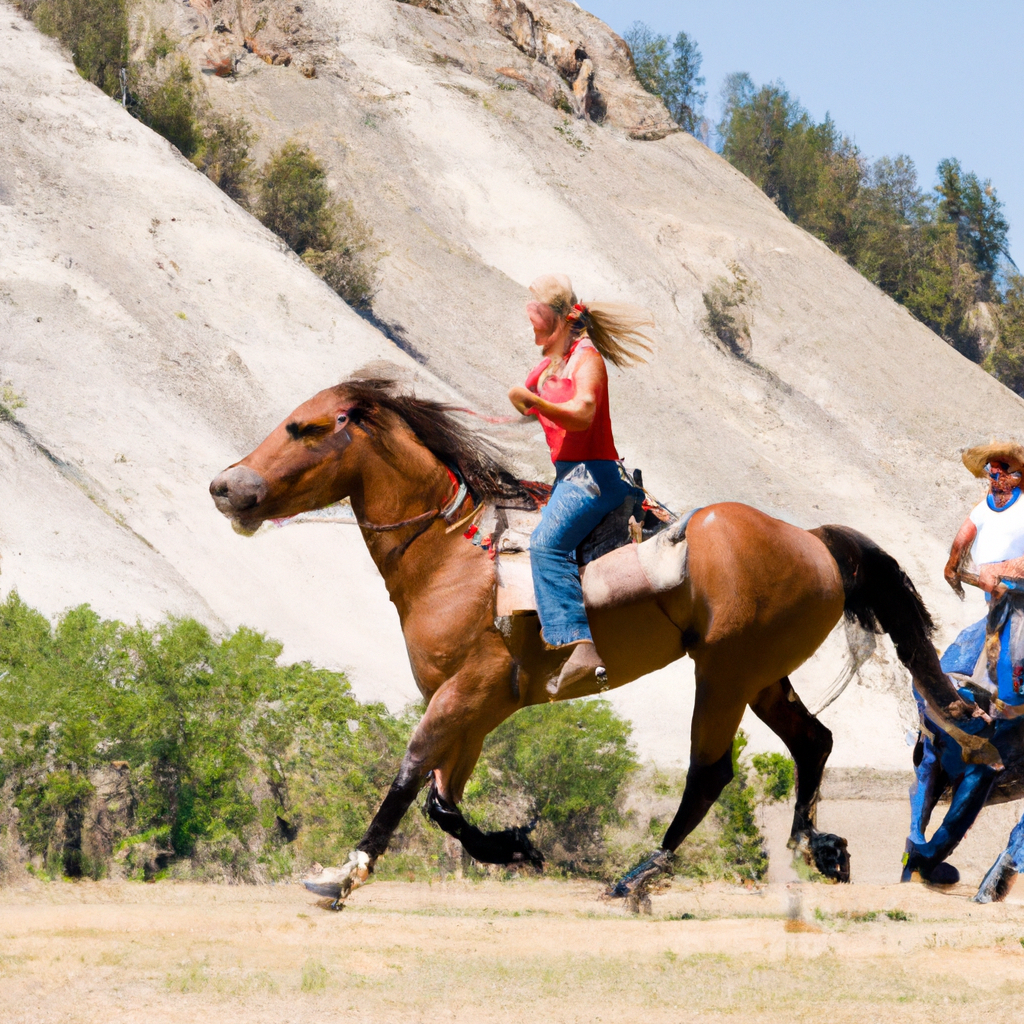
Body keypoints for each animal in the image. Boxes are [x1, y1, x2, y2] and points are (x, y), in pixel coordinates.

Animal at [209, 376, 983, 905]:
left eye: (304, 427)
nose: (225, 487)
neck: (453, 555)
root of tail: (815, 542)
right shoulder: (483, 706)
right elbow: (442, 802)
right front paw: (513, 848)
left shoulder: (467, 691)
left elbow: (407, 776)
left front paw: (345, 873)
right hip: (763, 675)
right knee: (813, 743)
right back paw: (812, 847)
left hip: (725, 675)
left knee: (711, 772)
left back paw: (641, 873)